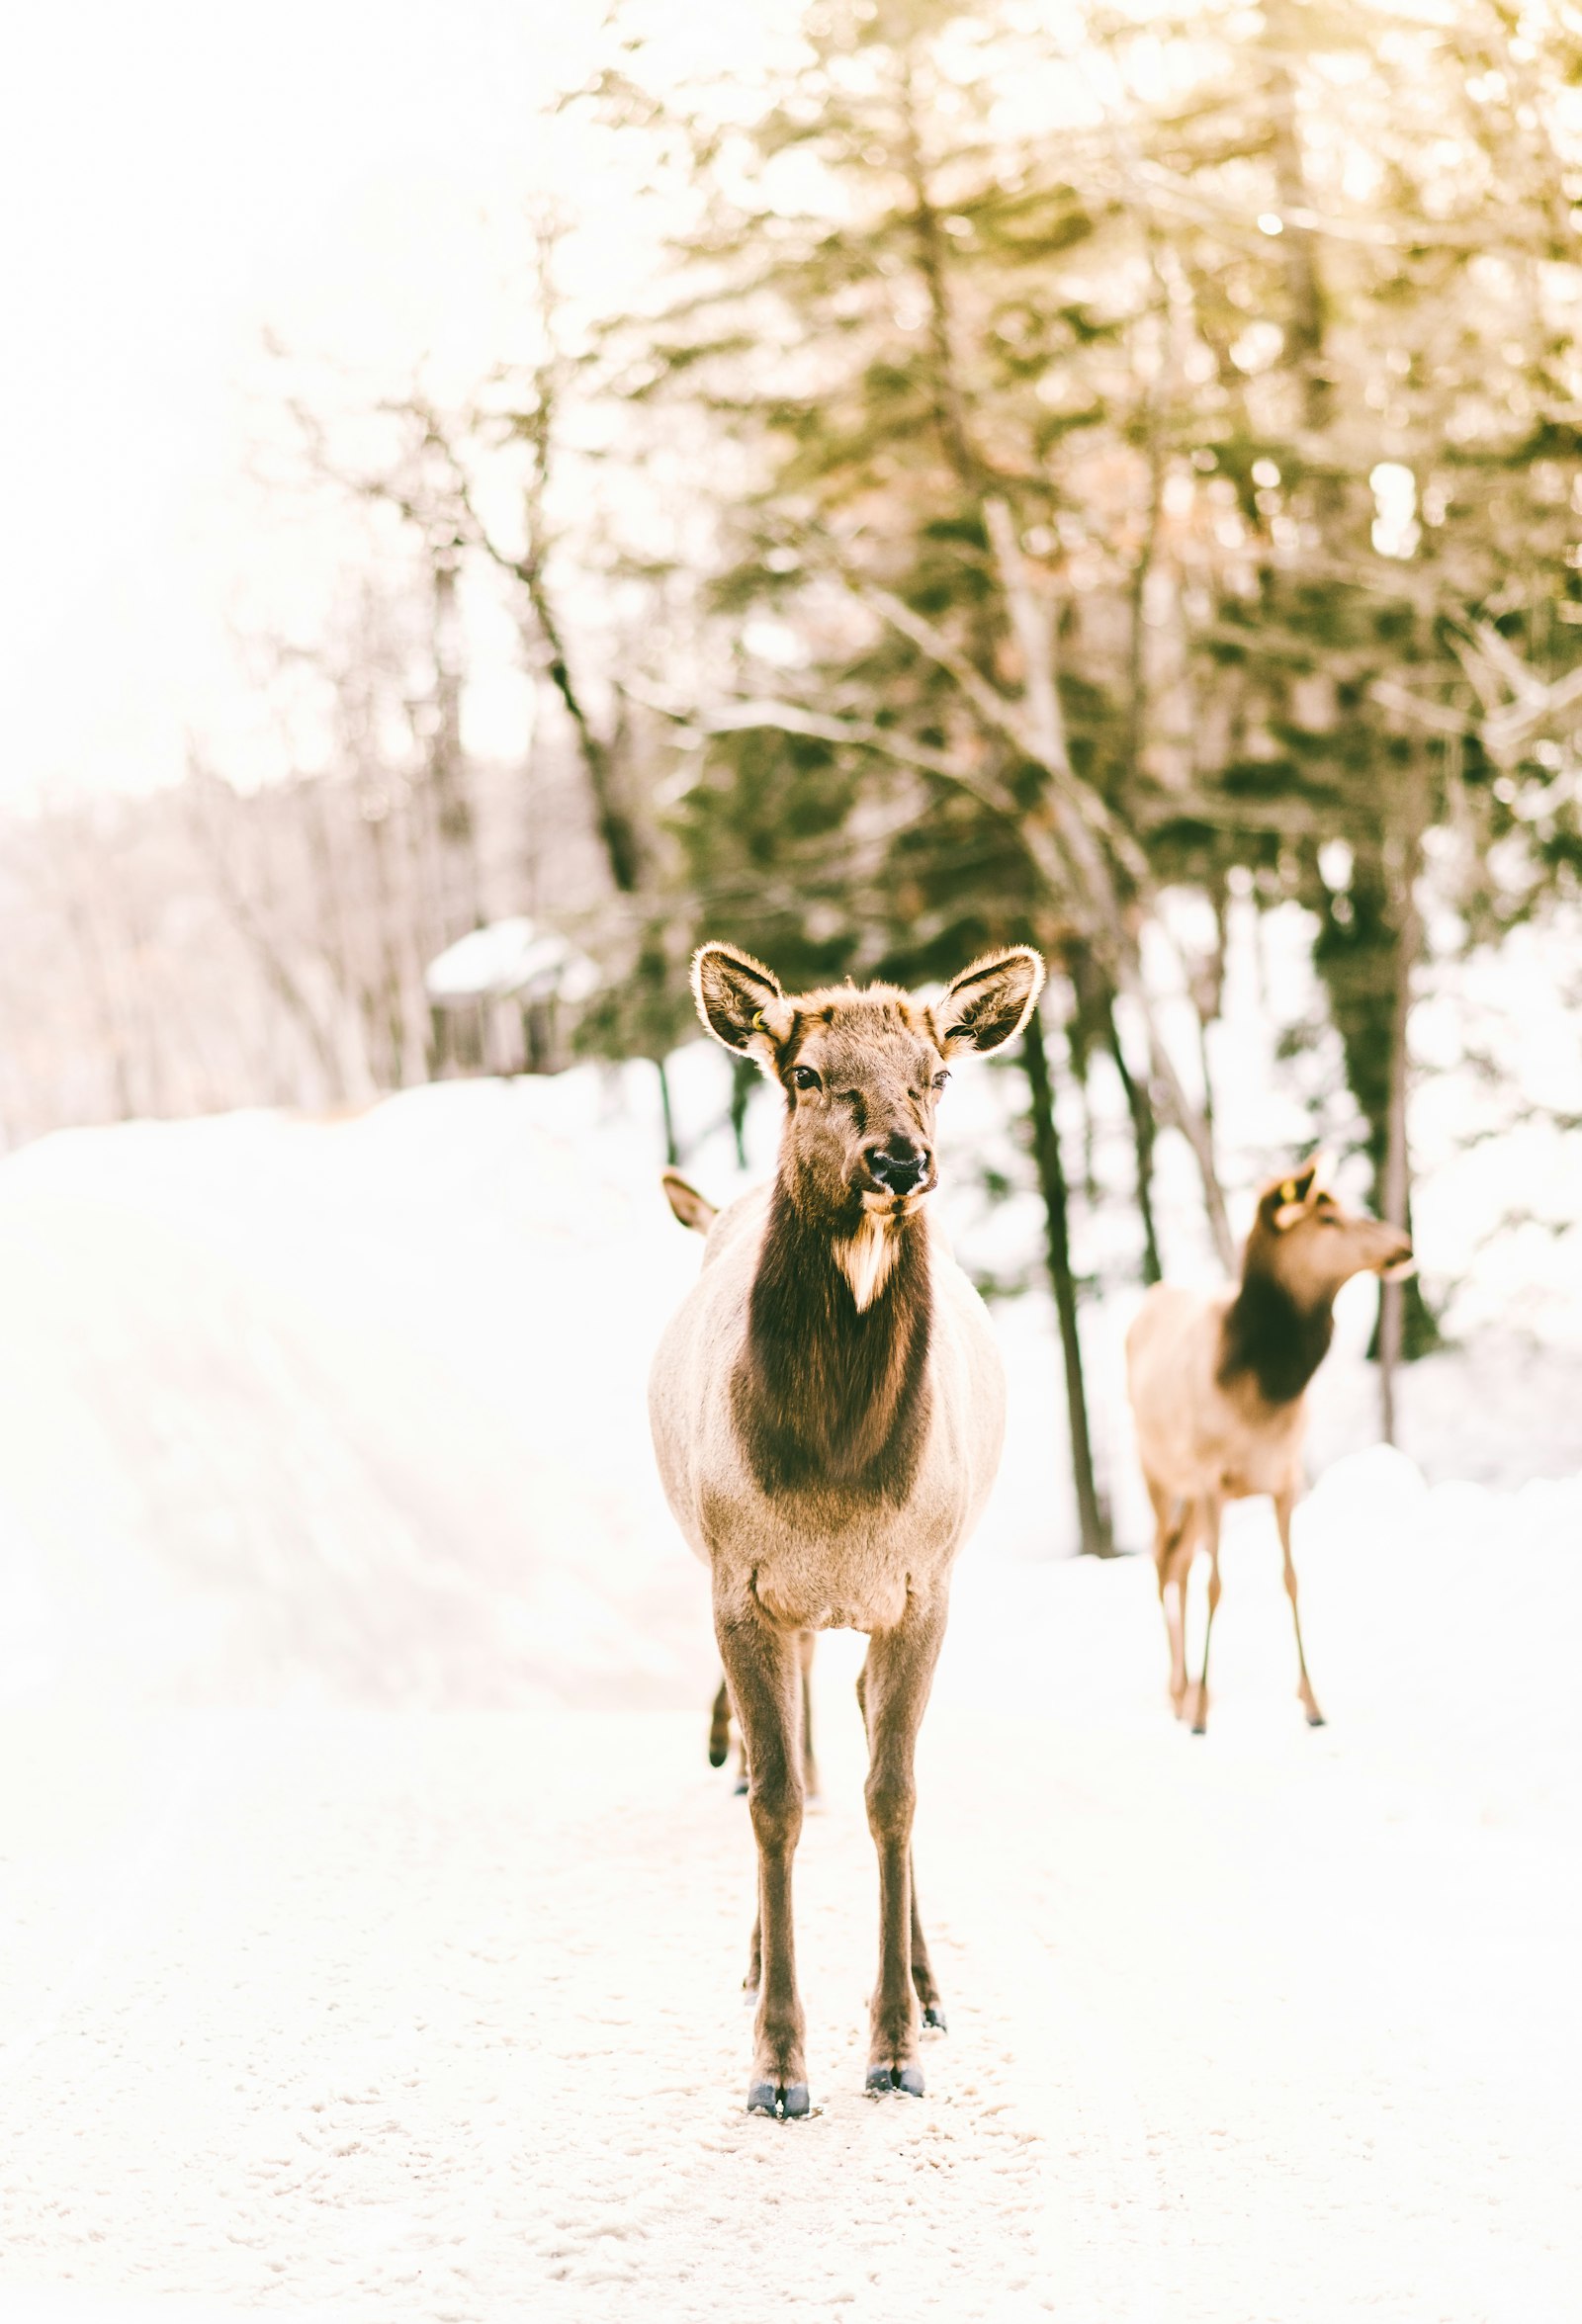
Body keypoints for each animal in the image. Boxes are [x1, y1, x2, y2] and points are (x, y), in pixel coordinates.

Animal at [646, 934, 1040, 2119]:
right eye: (807, 1073)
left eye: (939, 1071)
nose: (900, 1159)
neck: (835, 1472)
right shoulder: (743, 1584)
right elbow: (775, 1802)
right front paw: (779, 2065)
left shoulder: (921, 1587)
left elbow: (893, 1797)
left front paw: (896, 2044)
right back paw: (753, 1960)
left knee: (871, 1742)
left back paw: (926, 1981)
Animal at [1128, 1153, 1412, 1738]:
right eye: (1327, 1219)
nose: (1403, 1245)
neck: (1262, 1395)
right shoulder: (1210, 1481)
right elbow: (1217, 1584)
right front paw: (1202, 1715)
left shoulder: (1284, 1478)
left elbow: (1292, 1578)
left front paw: (1312, 1703)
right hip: (1158, 1473)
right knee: (1162, 1557)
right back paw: (1179, 1692)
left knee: (1178, 1559)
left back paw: (1187, 1689)